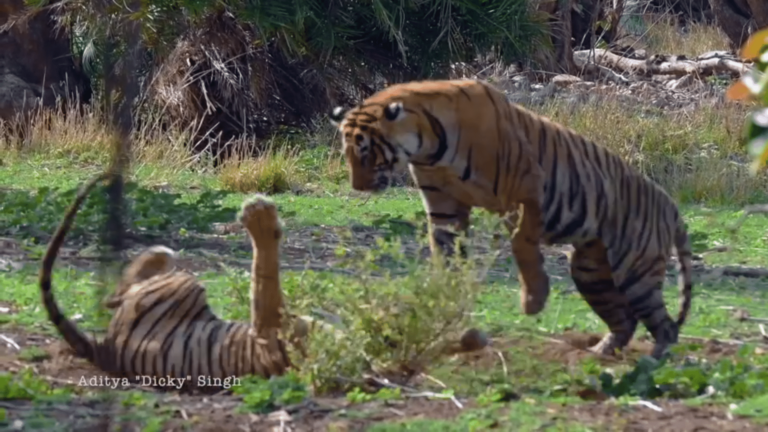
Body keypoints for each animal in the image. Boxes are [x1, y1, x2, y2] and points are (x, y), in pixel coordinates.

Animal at [39, 173, 293, 392]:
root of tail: (106, 351)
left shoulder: (269, 330)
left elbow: (265, 271)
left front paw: (259, 217)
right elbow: (266, 272)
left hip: (180, 285)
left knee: (118, 294)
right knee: (121, 290)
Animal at [329, 78, 693, 359]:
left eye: (366, 152)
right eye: (347, 154)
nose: (357, 187)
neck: (428, 148)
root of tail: (671, 205)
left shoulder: (528, 189)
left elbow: (522, 242)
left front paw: (533, 300)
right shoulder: (444, 206)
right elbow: (445, 252)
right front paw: (445, 294)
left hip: (636, 270)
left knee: (666, 325)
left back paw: (655, 359)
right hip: (592, 272)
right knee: (625, 320)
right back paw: (600, 352)